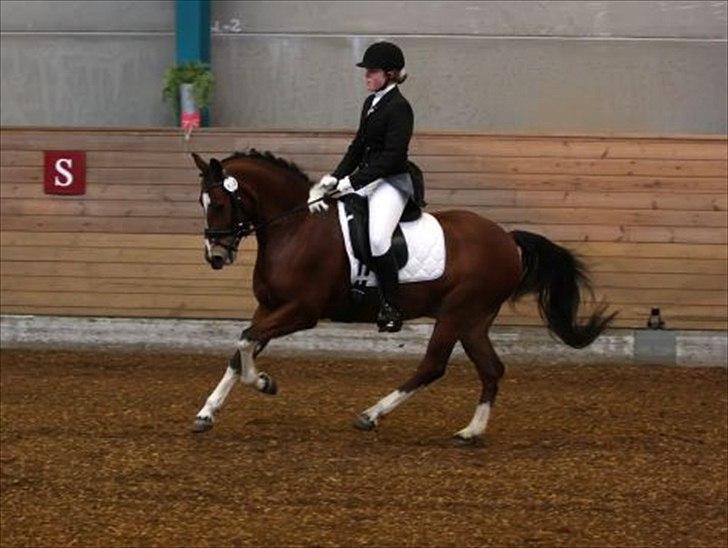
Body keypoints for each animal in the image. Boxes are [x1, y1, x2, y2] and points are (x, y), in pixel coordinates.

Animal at [190, 149, 615, 443]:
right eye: (202, 203)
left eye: (222, 203)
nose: (215, 257)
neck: (296, 227)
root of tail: (507, 239)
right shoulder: (269, 307)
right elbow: (241, 348)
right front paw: (207, 413)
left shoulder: (302, 311)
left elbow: (245, 341)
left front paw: (264, 383)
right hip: (474, 320)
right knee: (491, 368)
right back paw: (470, 432)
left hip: (457, 312)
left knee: (433, 365)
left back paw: (371, 415)